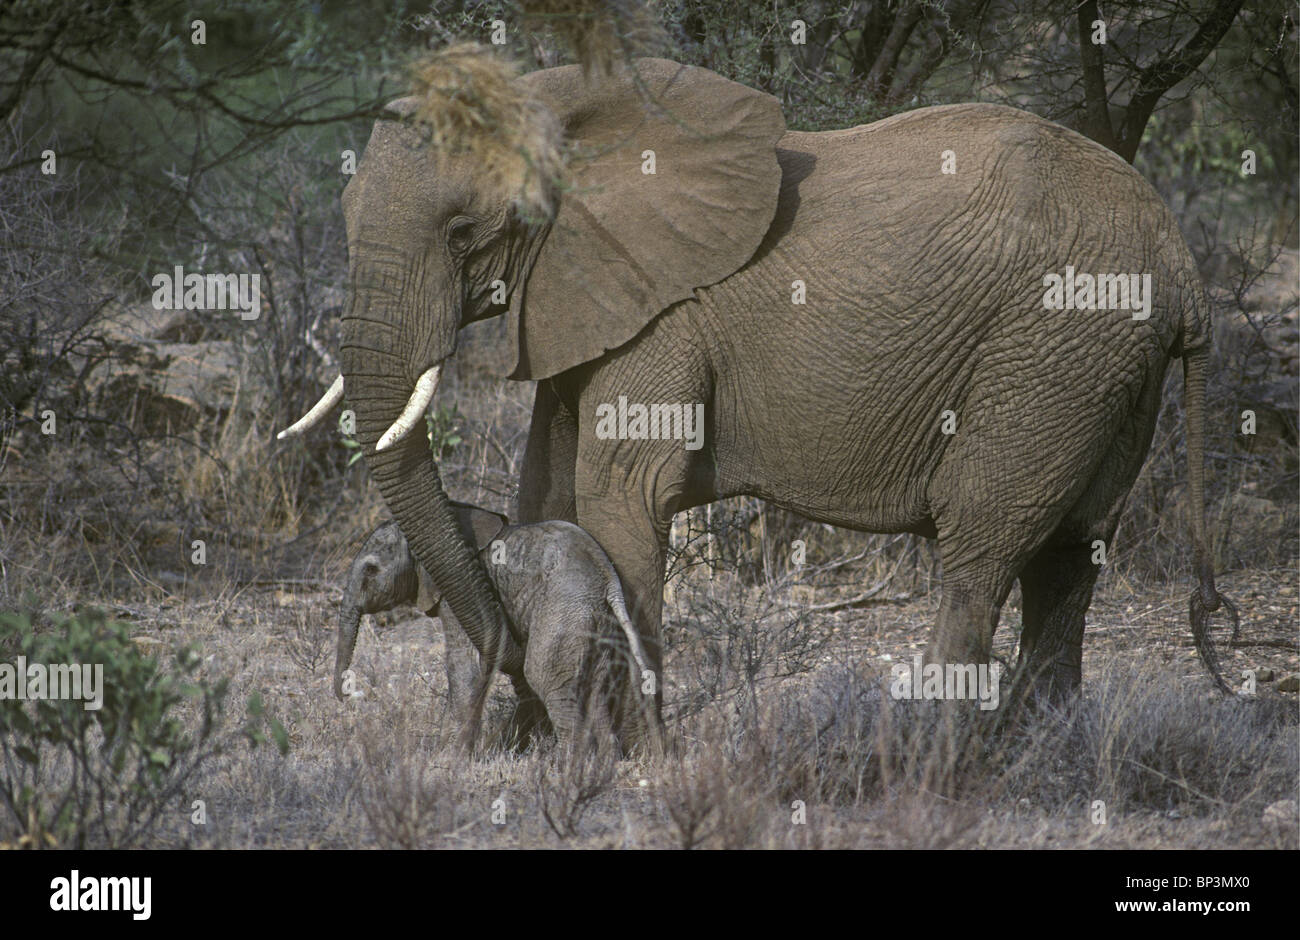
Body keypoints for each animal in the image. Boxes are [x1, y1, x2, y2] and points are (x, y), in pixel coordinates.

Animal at [284, 56, 1236, 713]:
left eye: (462, 232)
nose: (495, 656)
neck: (566, 100)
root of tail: (1181, 261)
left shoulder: (666, 312)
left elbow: (620, 493)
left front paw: (625, 742)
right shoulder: (584, 292)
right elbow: (547, 484)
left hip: (1053, 348)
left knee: (983, 546)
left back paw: (927, 753)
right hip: (1107, 369)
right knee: (1073, 556)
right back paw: (1045, 753)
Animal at [333, 509, 655, 753]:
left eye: (371, 570)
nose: (345, 697)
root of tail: (609, 580)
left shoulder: (453, 595)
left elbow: (466, 665)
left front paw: (447, 761)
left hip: (564, 611)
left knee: (547, 678)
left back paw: (566, 769)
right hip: (597, 621)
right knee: (595, 688)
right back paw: (605, 764)